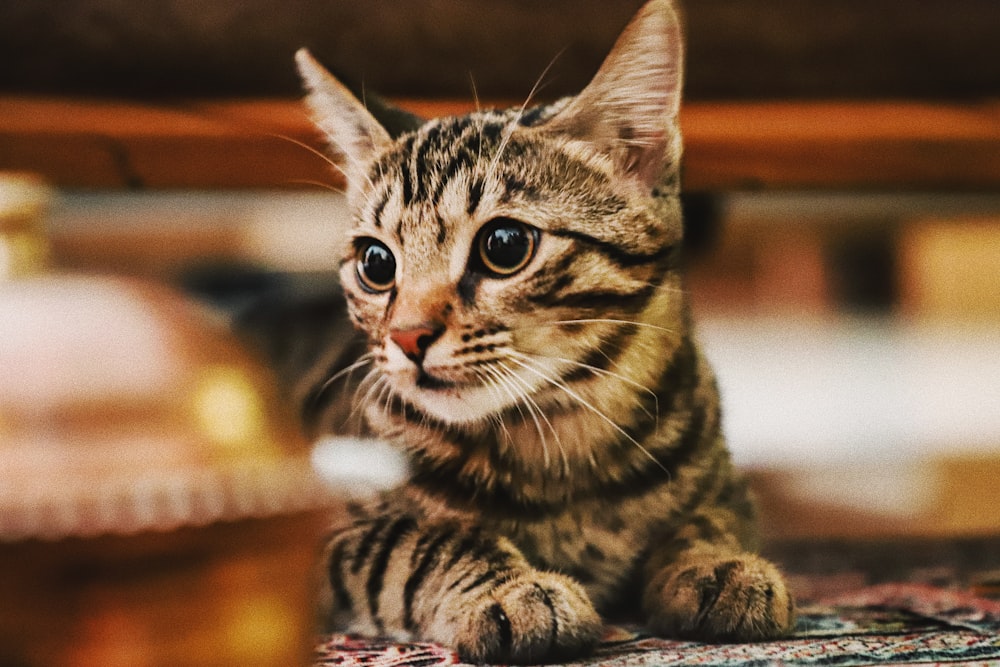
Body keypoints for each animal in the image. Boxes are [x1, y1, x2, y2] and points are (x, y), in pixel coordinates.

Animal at [284, 0, 796, 664]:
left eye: (504, 245)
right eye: (376, 263)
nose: (408, 337)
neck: (557, 439)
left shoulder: (727, 487)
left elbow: (708, 518)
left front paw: (716, 564)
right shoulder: (329, 533)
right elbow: (424, 540)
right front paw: (512, 590)